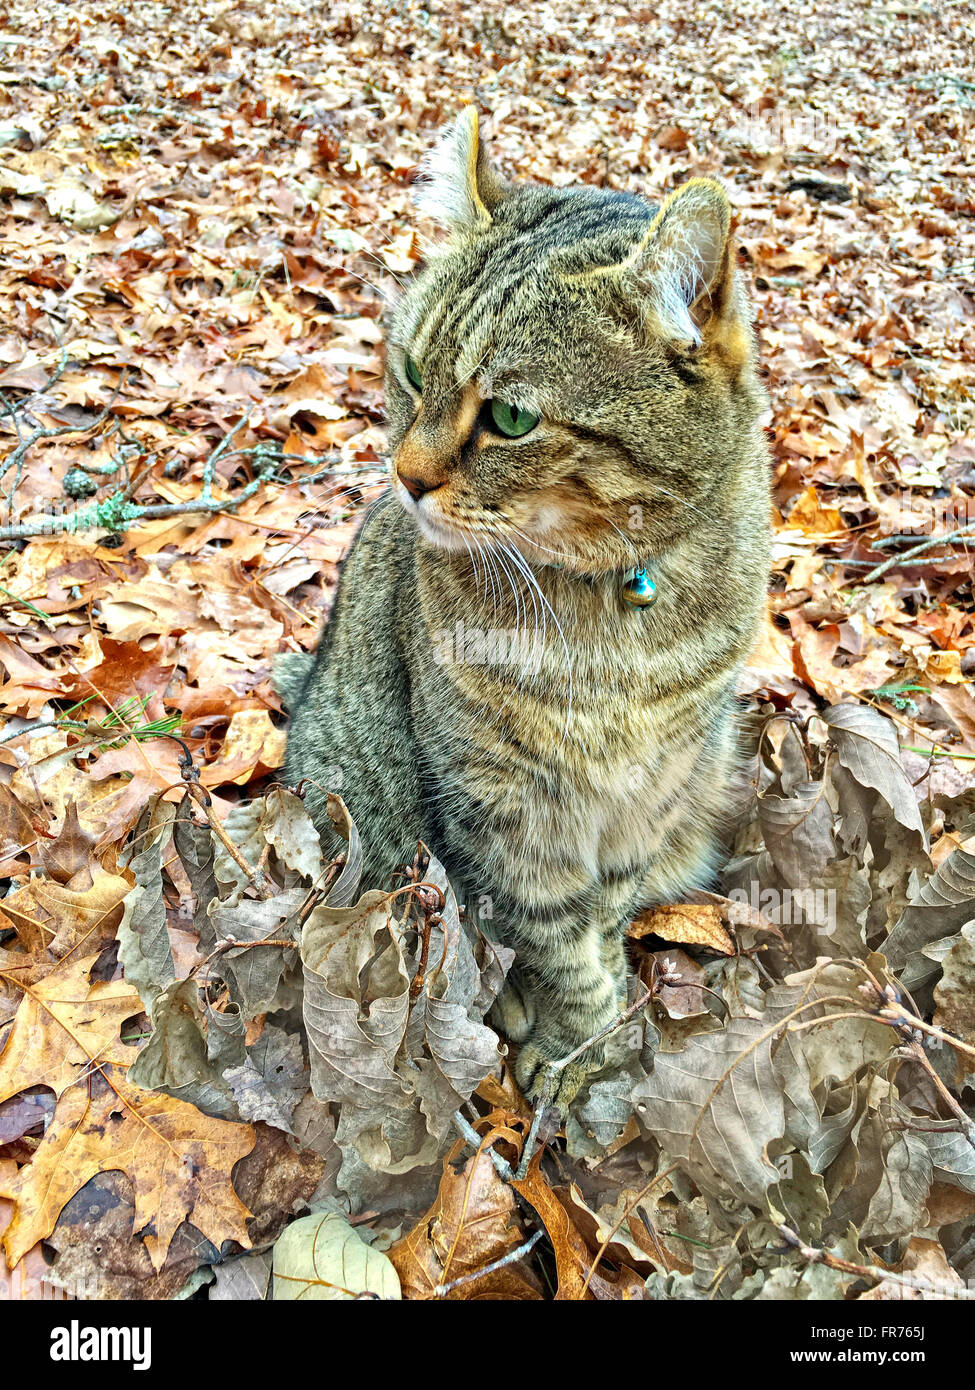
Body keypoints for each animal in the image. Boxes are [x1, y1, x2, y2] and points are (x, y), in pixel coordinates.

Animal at [278, 105, 773, 1106]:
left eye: (510, 418)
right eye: (412, 370)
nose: (406, 478)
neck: (610, 610)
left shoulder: (652, 794)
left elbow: (605, 914)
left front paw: (593, 1031)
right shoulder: (496, 805)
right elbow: (550, 937)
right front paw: (576, 1037)